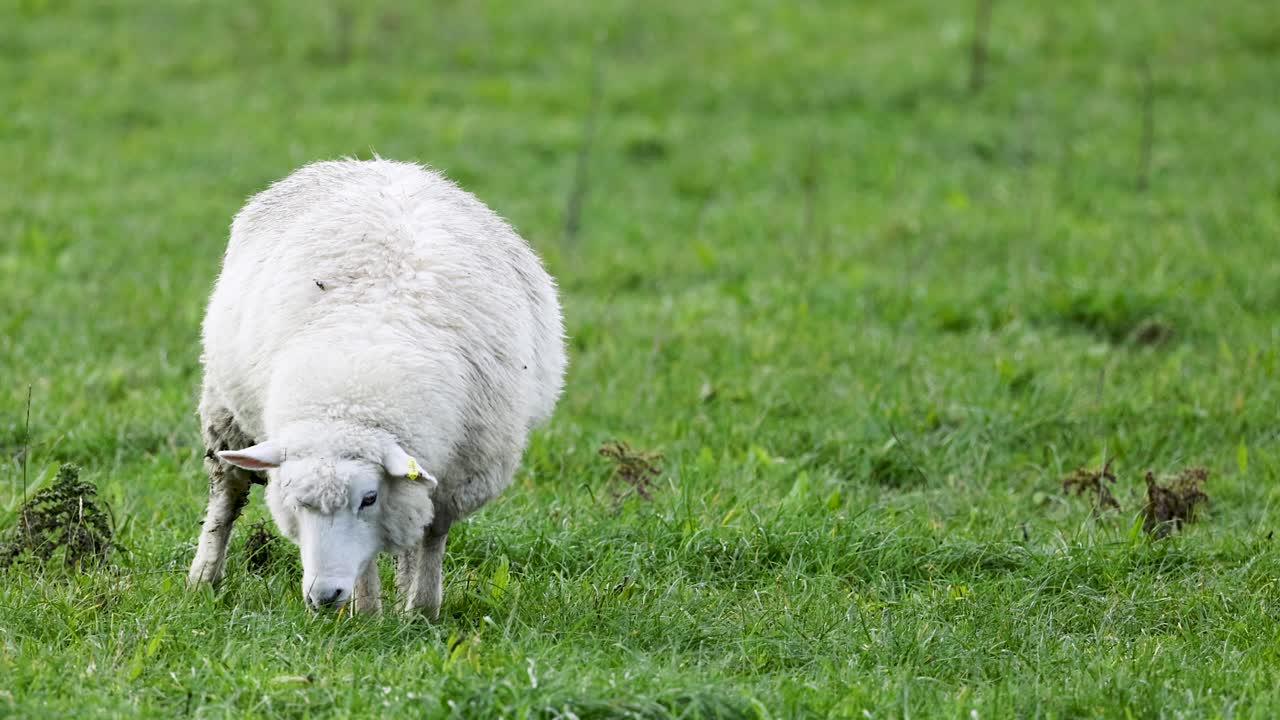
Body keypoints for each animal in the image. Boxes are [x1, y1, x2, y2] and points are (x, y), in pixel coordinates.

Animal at [186, 158, 566, 617]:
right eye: (295, 500)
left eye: (369, 498)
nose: (323, 595)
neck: (352, 399)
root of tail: (379, 163)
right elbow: (367, 561)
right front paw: (368, 613)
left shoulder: (456, 476)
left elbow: (431, 537)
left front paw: (422, 609)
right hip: (225, 411)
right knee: (226, 494)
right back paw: (204, 578)